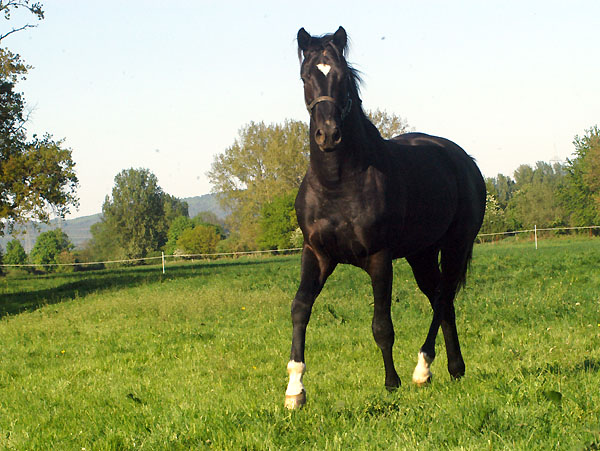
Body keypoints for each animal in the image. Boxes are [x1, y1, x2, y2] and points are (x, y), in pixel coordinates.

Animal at [286, 27, 488, 410]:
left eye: (342, 76)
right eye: (305, 76)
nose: (328, 134)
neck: (338, 182)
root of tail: (463, 159)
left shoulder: (379, 259)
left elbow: (382, 325)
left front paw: (391, 383)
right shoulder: (317, 254)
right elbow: (300, 309)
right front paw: (294, 390)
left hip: (456, 245)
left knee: (442, 298)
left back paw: (422, 369)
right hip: (422, 254)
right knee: (442, 299)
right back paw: (454, 369)